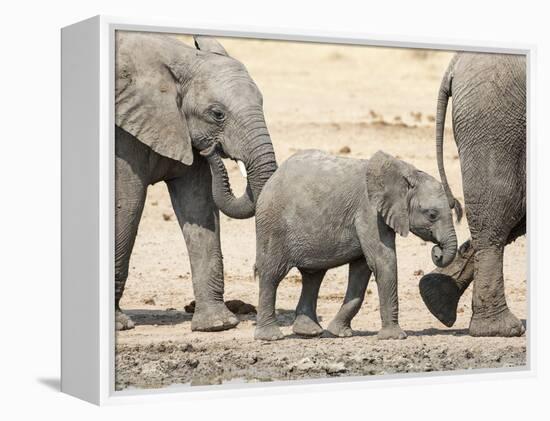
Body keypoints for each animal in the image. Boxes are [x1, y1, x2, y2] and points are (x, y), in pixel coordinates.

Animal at [117, 31, 280, 330]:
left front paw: (217, 325)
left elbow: (200, 204)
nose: (212, 149)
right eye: (217, 114)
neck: (180, 59)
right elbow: (127, 204)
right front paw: (120, 325)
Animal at [256, 149, 460, 340]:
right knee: (271, 274)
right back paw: (271, 336)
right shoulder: (369, 211)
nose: (437, 251)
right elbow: (383, 261)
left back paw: (309, 332)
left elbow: (362, 270)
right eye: (432, 214)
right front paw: (395, 337)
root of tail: (272, 178)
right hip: (272, 225)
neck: (405, 173)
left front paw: (339, 333)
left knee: (313, 276)